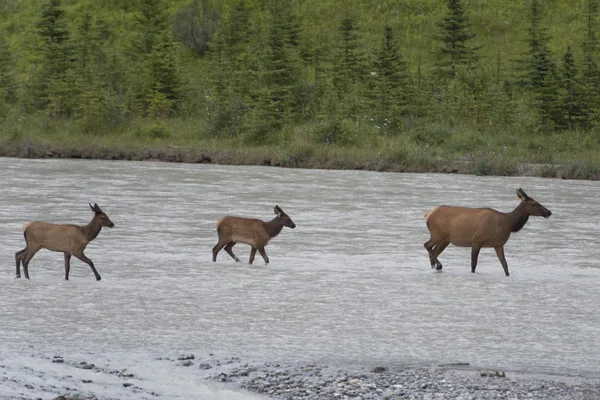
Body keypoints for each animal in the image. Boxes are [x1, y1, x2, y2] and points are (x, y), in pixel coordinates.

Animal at [424, 189, 552, 276]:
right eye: (534, 203)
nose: (549, 212)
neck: (508, 225)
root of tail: (428, 214)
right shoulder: (476, 241)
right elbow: (473, 264)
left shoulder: (498, 245)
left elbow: (505, 265)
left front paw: (508, 275)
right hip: (437, 235)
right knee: (427, 245)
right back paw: (439, 265)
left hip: (445, 239)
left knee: (434, 252)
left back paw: (435, 267)